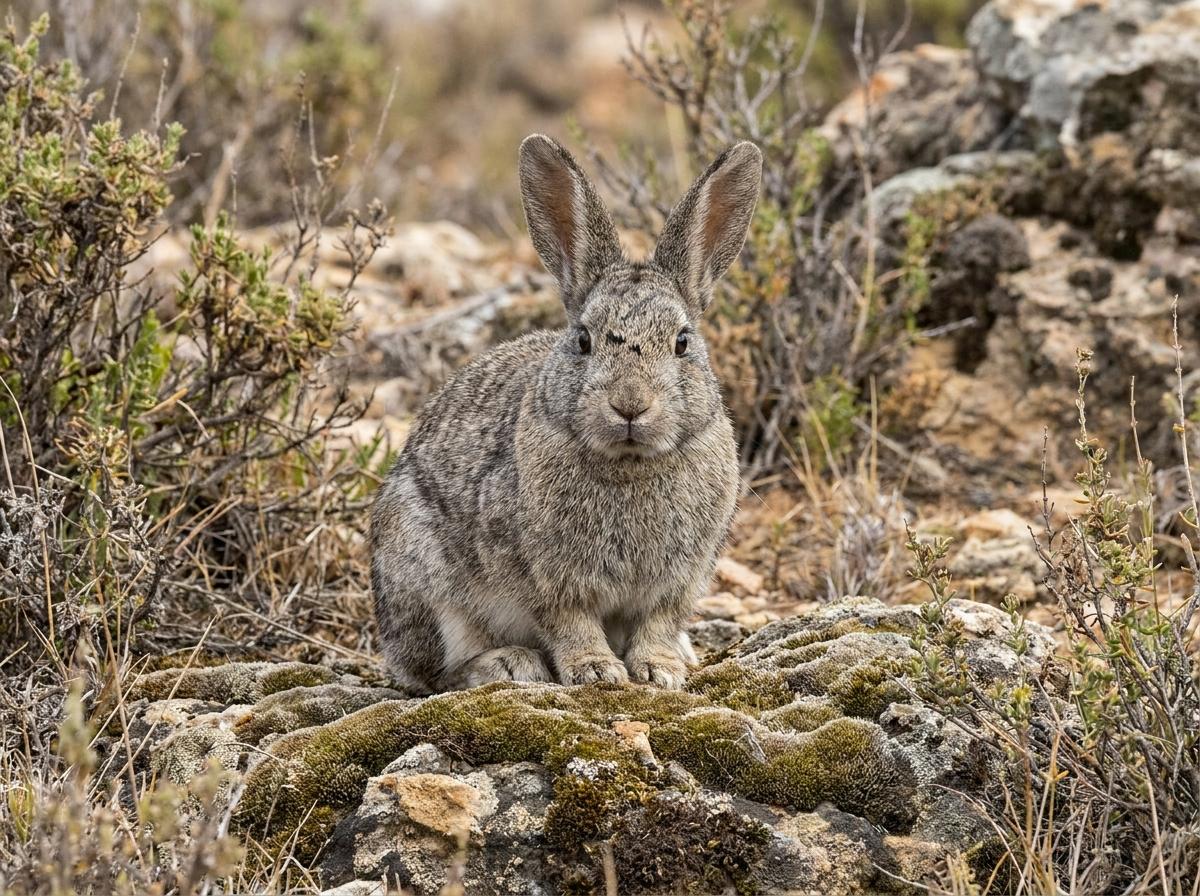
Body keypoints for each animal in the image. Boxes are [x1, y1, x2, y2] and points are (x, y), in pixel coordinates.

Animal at [371, 133, 761, 694]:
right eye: (582, 340)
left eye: (683, 342)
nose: (629, 403)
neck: (630, 463)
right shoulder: (542, 576)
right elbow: (568, 621)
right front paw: (596, 670)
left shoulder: (680, 580)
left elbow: (660, 623)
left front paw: (661, 670)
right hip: (422, 574)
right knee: (437, 671)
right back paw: (508, 664)